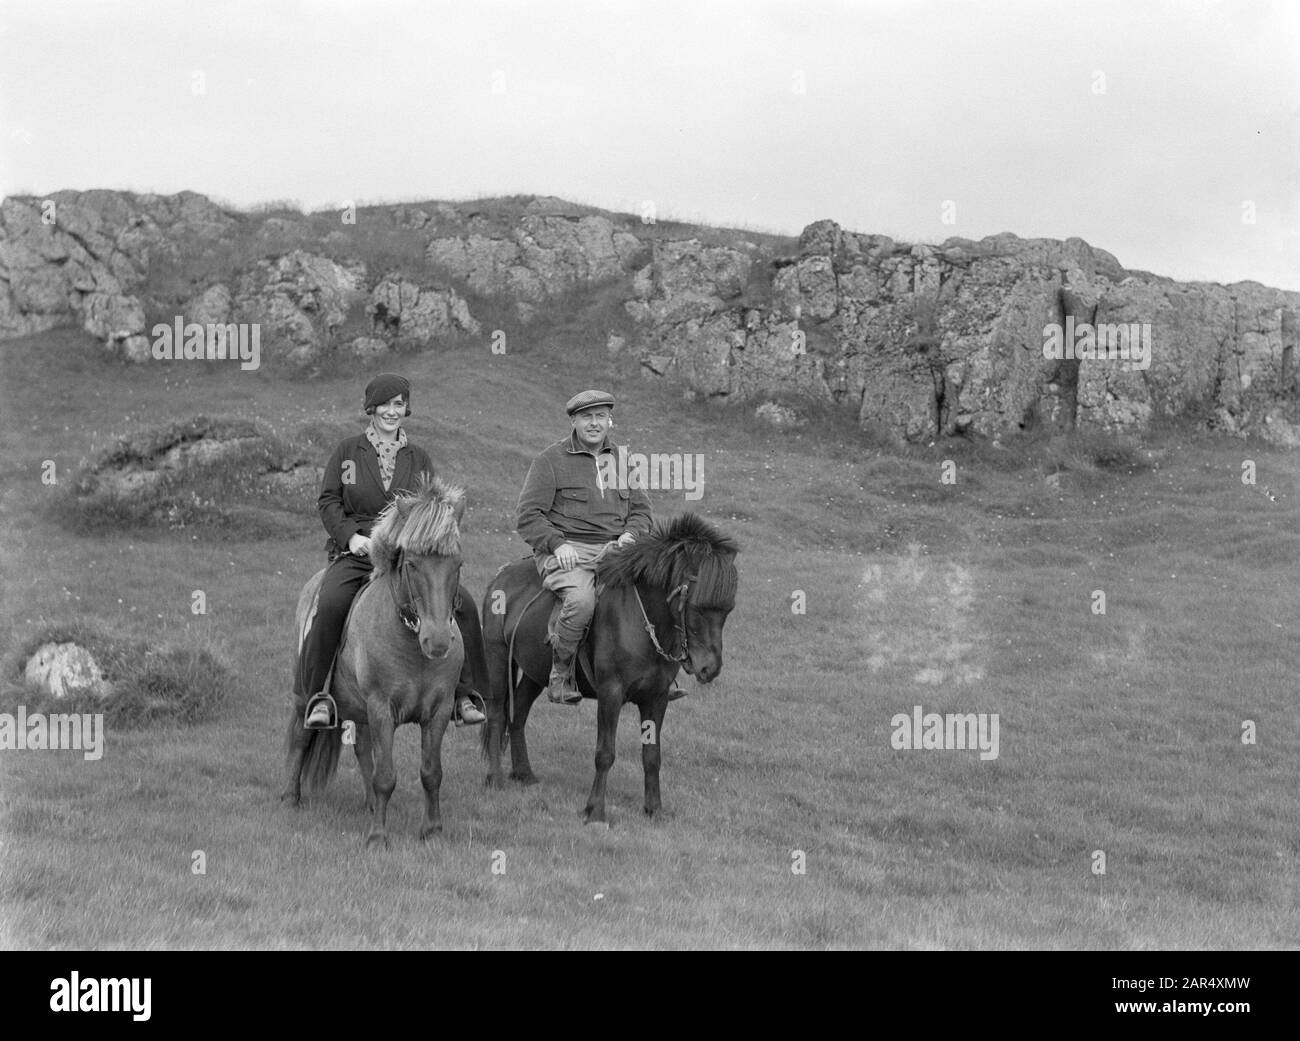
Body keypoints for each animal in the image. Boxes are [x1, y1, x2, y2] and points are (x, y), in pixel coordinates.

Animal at [480, 512, 743, 821]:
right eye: (698, 607)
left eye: (727, 610)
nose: (709, 669)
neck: (641, 620)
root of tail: (501, 576)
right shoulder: (611, 694)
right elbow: (605, 753)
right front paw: (595, 810)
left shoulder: (657, 698)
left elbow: (652, 755)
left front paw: (654, 809)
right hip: (496, 658)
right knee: (497, 714)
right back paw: (495, 778)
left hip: (535, 672)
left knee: (518, 715)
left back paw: (524, 774)